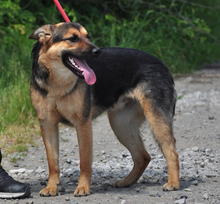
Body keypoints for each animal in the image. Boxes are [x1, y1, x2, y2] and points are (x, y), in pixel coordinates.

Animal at [28, 21, 180, 196]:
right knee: (143, 156)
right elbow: (52, 163)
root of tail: (162, 64)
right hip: (121, 126)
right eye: (72, 38)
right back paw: (126, 182)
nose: (97, 51)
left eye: (87, 36)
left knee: (172, 152)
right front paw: (52, 187)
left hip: (156, 120)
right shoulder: (48, 125)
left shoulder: (83, 124)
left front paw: (83, 187)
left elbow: (85, 162)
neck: (57, 84)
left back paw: (173, 183)